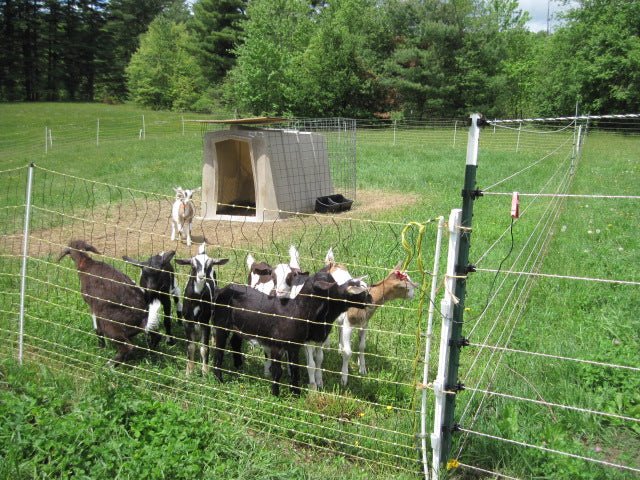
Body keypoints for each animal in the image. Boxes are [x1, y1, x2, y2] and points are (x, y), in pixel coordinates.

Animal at [58, 238, 162, 366]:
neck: (86, 263)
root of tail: (143, 319)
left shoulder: (94, 305)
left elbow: (97, 329)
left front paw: (100, 349)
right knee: (157, 336)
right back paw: (149, 354)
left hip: (110, 322)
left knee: (128, 346)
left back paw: (110, 365)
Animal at [176, 244, 229, 376]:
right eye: (193, 265)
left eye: (209, 266)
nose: (201, 277)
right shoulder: (187, 322)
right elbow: (190, 347)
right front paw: (189, 372)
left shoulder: (205, 323)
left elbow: (204, 348)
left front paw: (205, 372)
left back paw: (214, 342)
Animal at [212, 272, 370, 396]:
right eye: (334, 288)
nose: (368, 299)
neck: (296, 310)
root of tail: (222, 289)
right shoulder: (276, 345)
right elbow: (277, 371)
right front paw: (276, 394)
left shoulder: (294, 346)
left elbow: (295, 369)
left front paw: (296, 393)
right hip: (221, 324)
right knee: (219, 351)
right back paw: (219, 378)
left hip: (238, 326)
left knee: (235, 342)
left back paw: (239, 367)